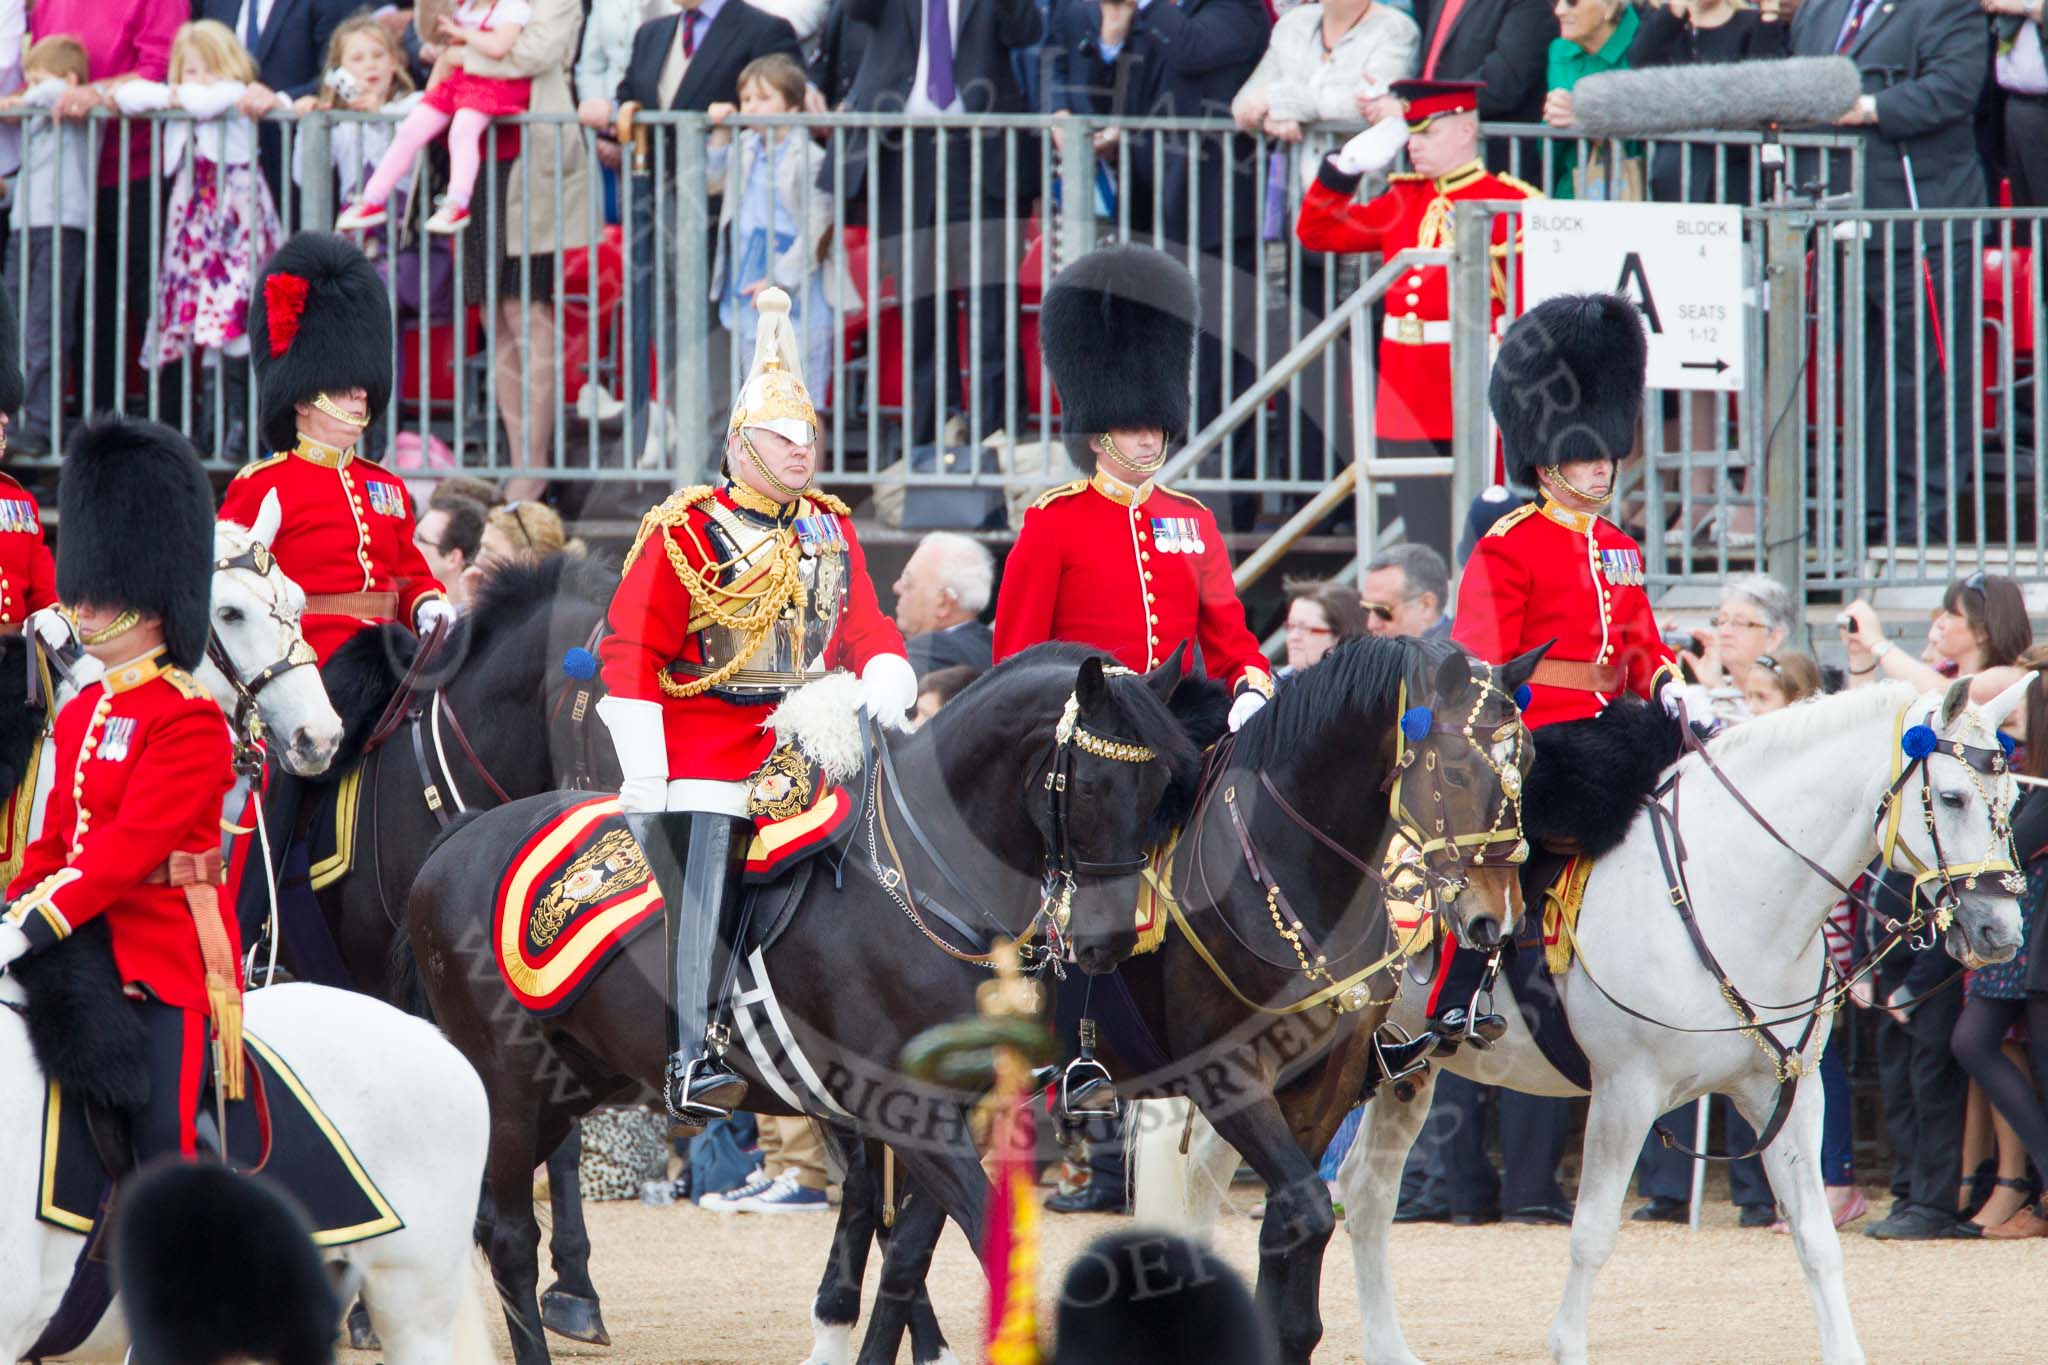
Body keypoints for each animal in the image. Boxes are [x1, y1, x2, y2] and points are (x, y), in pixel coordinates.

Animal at [404, 644, 1206, 1365]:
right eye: (1093, 786)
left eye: (1164, 790)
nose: (1109, 939)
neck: (924, 879)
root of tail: (457, 841)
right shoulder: (904, 1110)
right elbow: (972, 1238)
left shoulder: (948, 1110)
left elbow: (905, 1253)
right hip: (509, 1082)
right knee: (509, 1235)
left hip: (570, 1080)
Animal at [803, 635, 1551, 1365]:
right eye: (1456, 771)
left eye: (1530, 762)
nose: (1496, 919)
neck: (1283, 869)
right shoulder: (1228, 1079)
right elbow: (1306, 1215)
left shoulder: (1323, 1086)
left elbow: (1295, 1246)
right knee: (874, 1208)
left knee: (895, 1222)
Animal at [1161, 676, 2033, 1365]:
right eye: (1952, 797)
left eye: (2013, 799)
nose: (2000, 931)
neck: (1730, 886)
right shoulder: (1624, 1094)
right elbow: (1592, 1235)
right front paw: (1568, 1345)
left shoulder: (1786, 1092)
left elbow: (1816, 1240)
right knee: (1210, 1174)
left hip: (1401, 1068)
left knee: (1364, 1194)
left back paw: (1388, 1347)